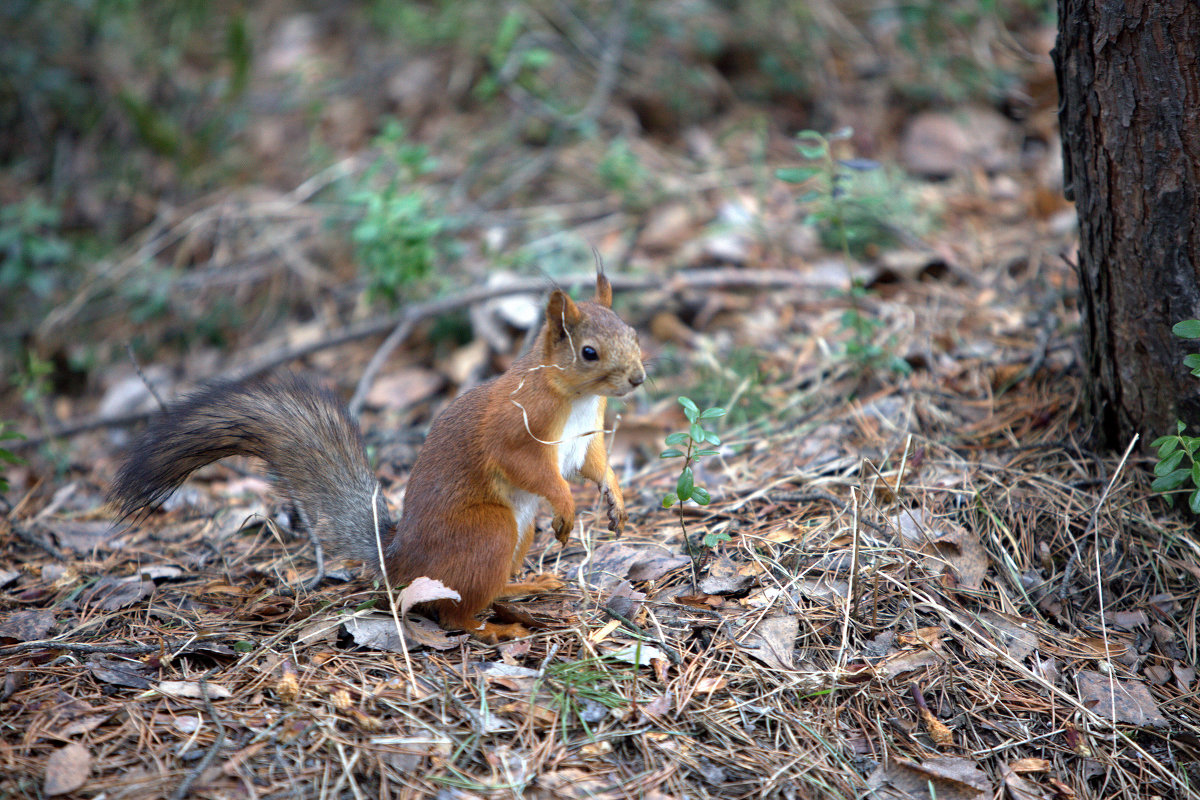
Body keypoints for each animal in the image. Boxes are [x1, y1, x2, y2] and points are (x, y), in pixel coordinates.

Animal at [108, 272, 643, 642]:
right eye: (589, 352)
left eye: (634, 333)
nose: (638, 378)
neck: (572, 397)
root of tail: (400, 559)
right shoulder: (515, 428)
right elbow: (531, 469)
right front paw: (567, 504)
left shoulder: (587, 436)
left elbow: (594, 465)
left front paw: (614, 498)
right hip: (488, 532)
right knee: (453, 612)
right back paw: (494, 627)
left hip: (518, 534)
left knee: (482, 590)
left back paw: (522, 589)